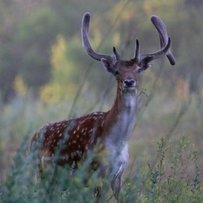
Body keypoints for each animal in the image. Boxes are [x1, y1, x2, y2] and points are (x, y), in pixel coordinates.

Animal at [30, 12, 175, 201]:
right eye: (116, 71)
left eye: (138, 69)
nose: (129, 82)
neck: (117, 140)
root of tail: (32, 137)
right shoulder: (96, 171)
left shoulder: (118, 175)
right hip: (43, 173)